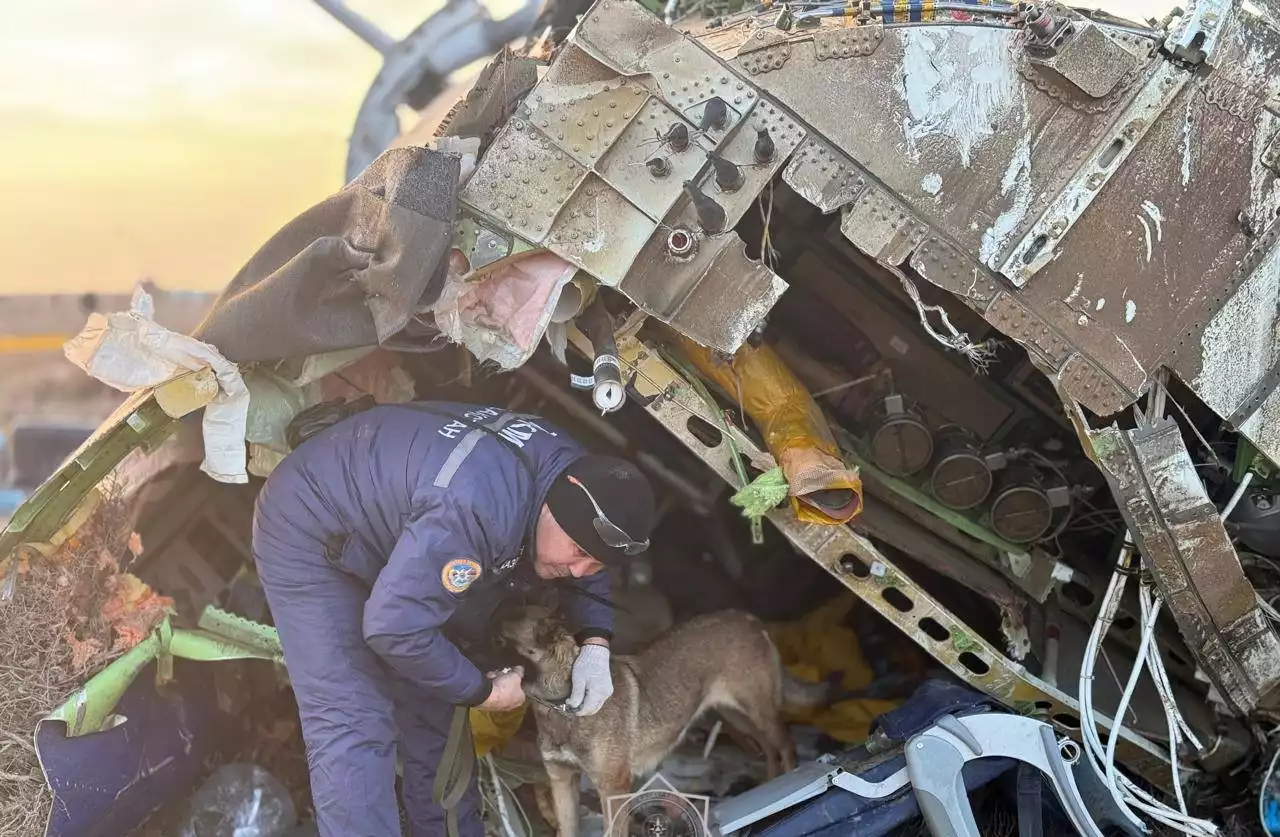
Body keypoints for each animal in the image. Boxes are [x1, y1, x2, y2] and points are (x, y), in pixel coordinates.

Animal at [496, 609, 788, 837]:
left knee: (786, 746)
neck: (563, 704)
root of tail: (747, 617)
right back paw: (771, 783)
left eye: (497, 638)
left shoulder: (613, 788)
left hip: (758, 712)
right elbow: (567, 828)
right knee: (768, 748)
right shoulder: (561, 781)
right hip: (737, 715)